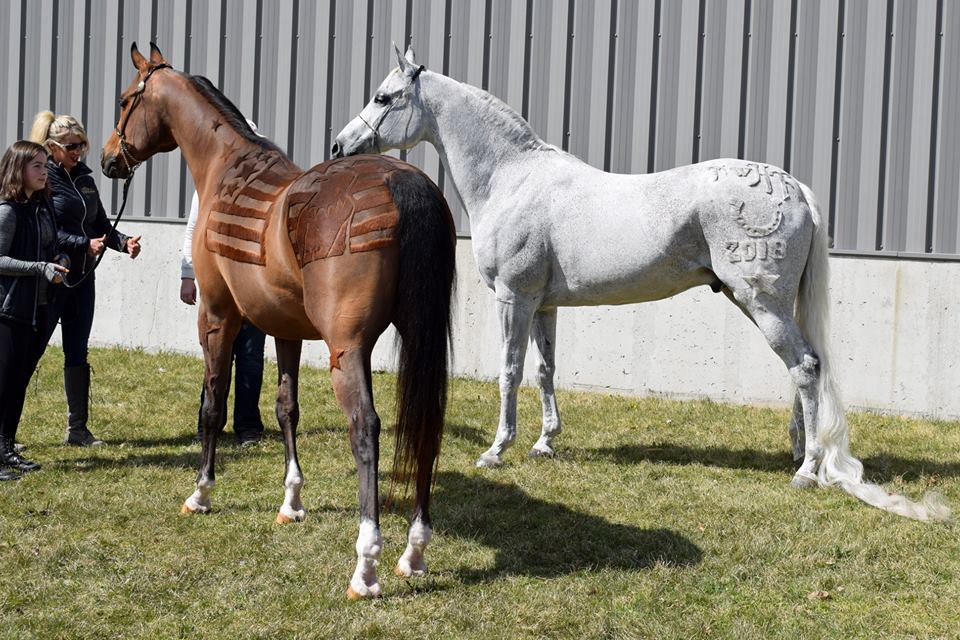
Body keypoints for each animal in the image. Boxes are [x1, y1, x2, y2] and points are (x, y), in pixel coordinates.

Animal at [101, 43, 457, 598]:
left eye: (124, 100)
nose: (108, 159)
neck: (227, 166)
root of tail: (402, 180)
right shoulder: (286, 330)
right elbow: (287, 408)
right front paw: (292, 502)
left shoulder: (217, 316)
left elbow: (213, 405)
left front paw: (201, 493)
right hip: (420, 338)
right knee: (427, 424)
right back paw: (414, 552)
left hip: (347, 349)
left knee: (365, 428)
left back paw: (367, 566)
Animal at [332, 45, 948, 522]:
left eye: (384, 97)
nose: (340, 146)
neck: (512, 178)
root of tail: (792, 187)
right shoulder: (544, 304)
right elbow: (545, 370)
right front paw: (545, 442)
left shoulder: (515, 297)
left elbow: (509, 373)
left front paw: (496, 450)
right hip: (770, 304)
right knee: (805, 369)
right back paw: (802, 450)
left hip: (764, 302)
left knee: (804, 367)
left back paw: (808, 469)